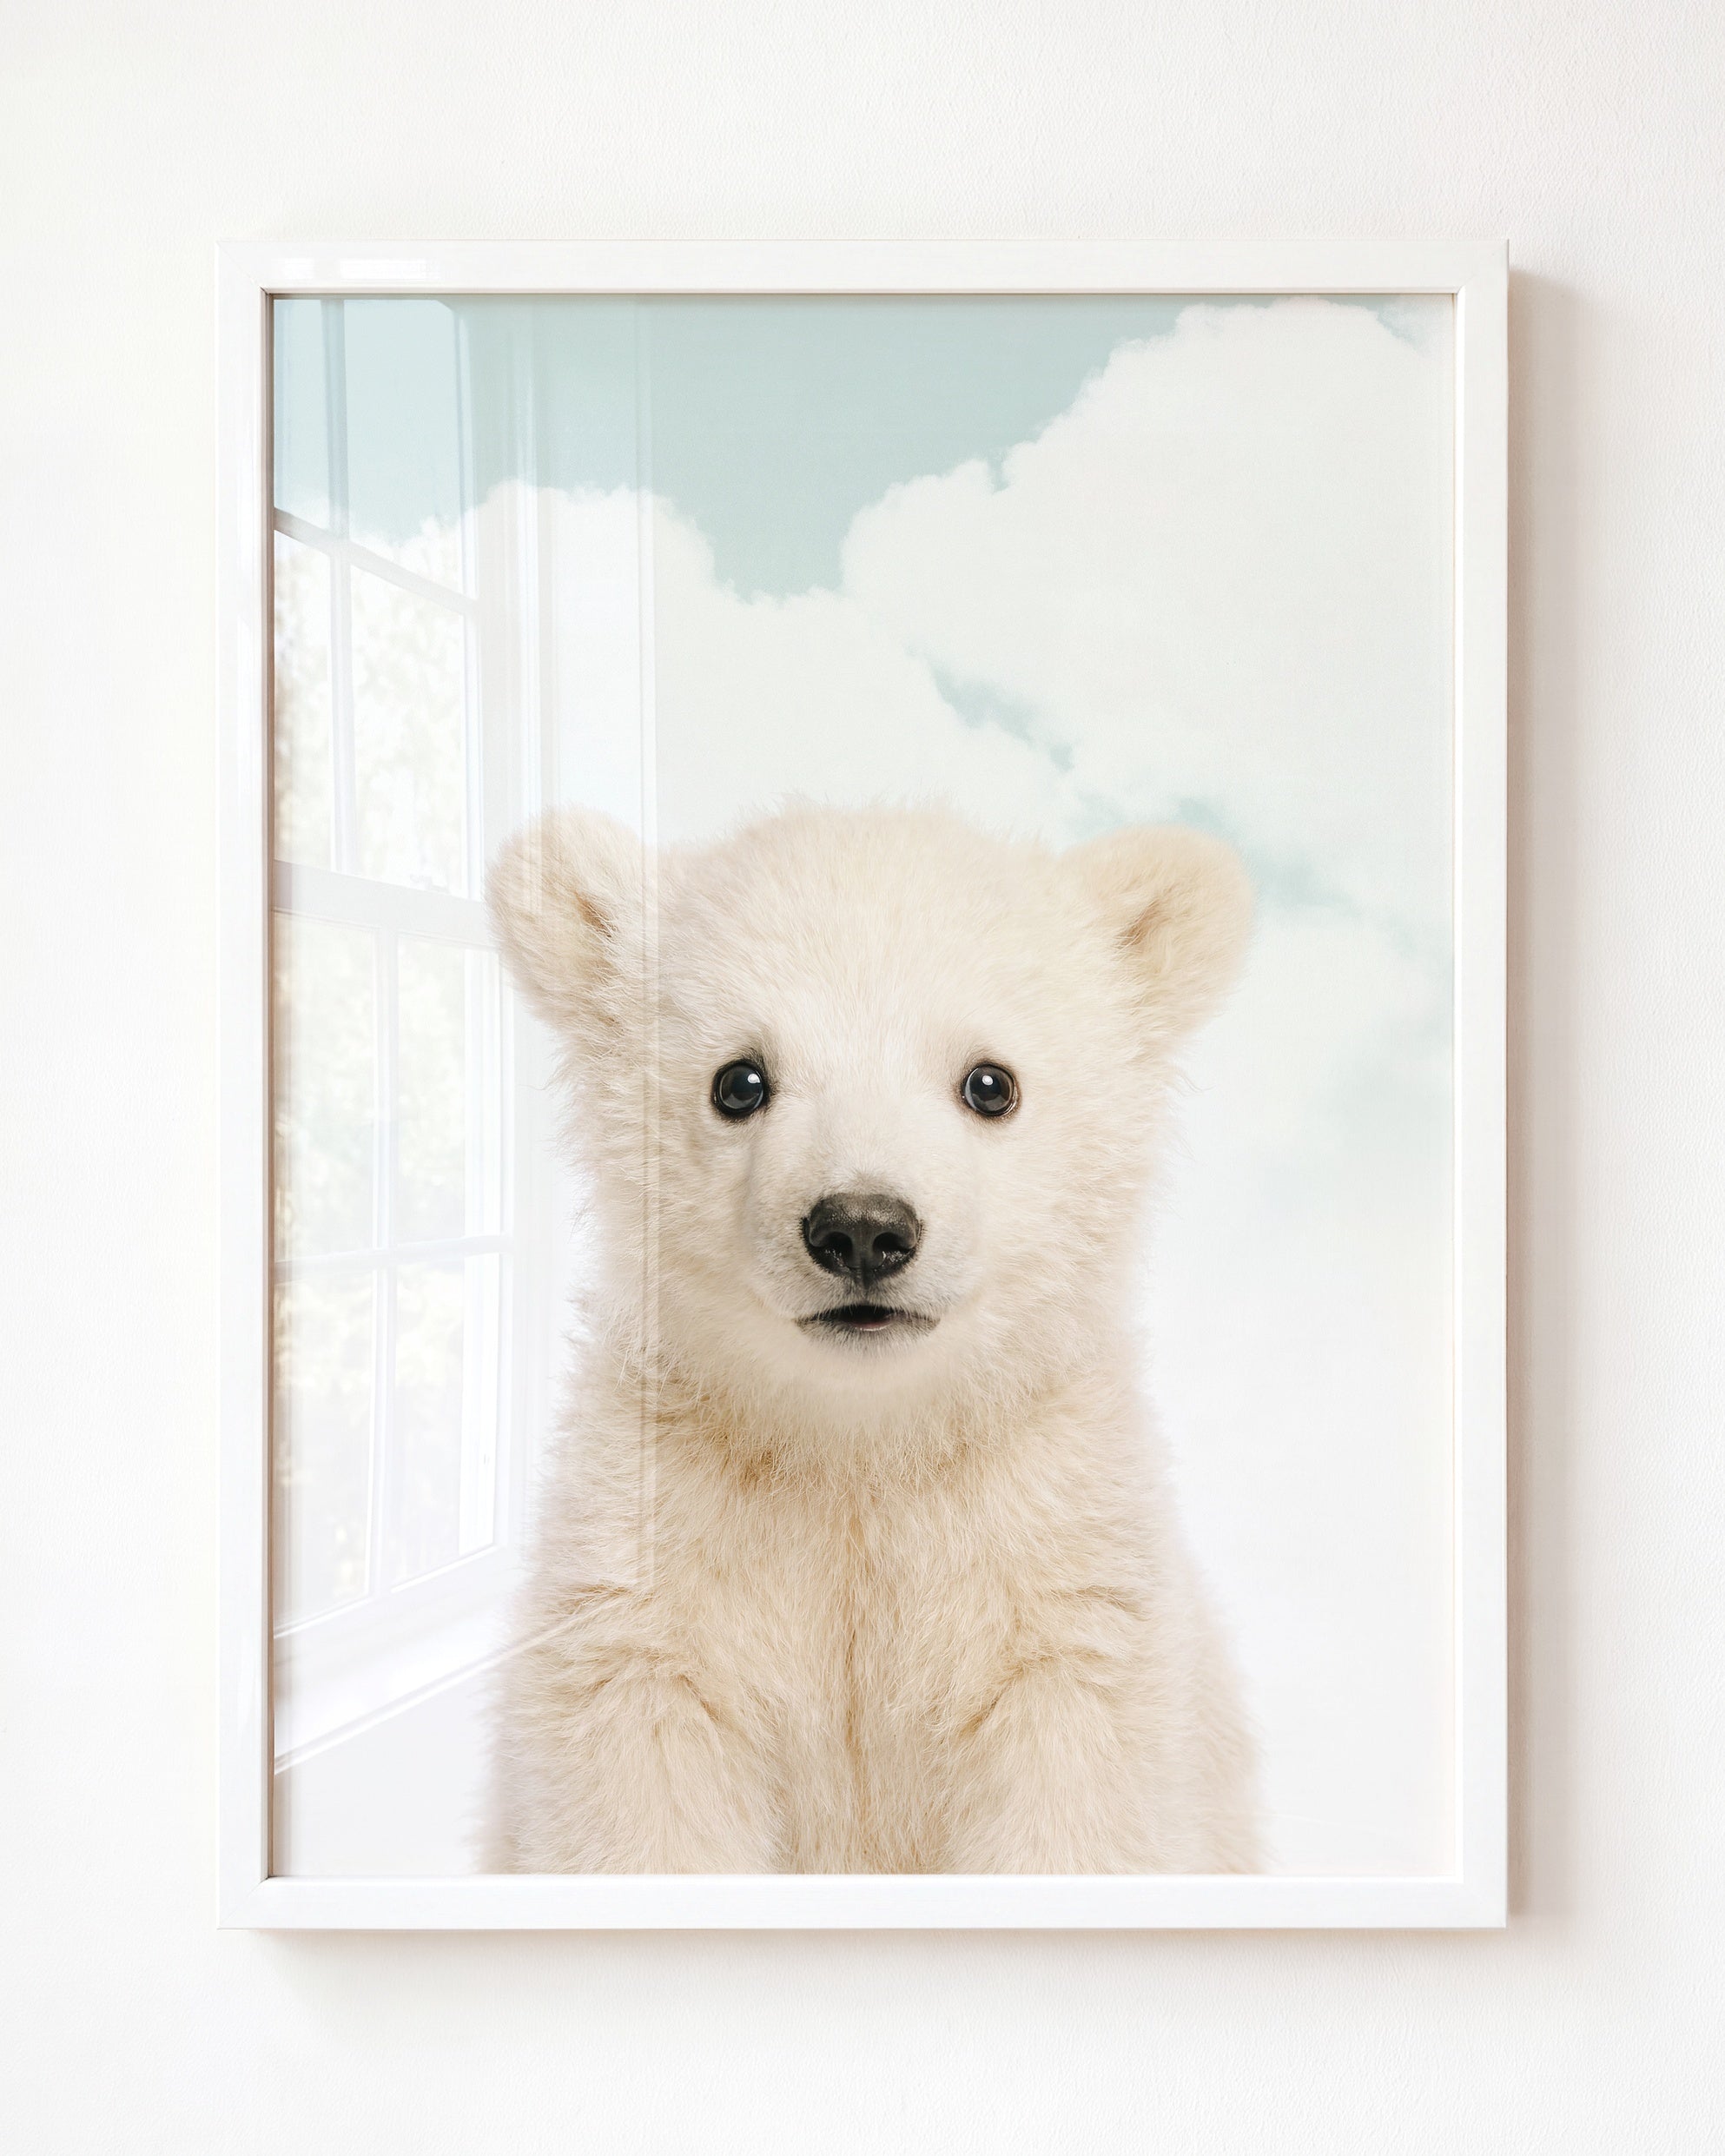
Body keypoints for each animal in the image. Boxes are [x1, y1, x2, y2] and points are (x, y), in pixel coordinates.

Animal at [484, 801, 1259, 1874]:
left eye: (990, 1083)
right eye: (739, 1080)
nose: (861, 1227)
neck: (861, 1445)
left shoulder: (1057, 1576)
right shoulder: (654, 1560)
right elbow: (642, 1789)